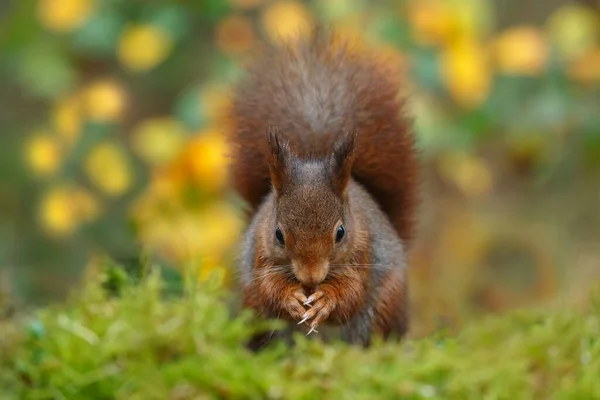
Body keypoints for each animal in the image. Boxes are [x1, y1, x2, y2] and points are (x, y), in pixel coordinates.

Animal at [225, 27, 418, 346]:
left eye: (341, 233)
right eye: (278, 234)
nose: (310, 278)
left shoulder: (363, 250)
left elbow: (352, 293)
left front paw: (326, 301)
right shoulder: (261, 253)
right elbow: (268, 286)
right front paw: (290, 298)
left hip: (386, 306)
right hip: (252, 309)